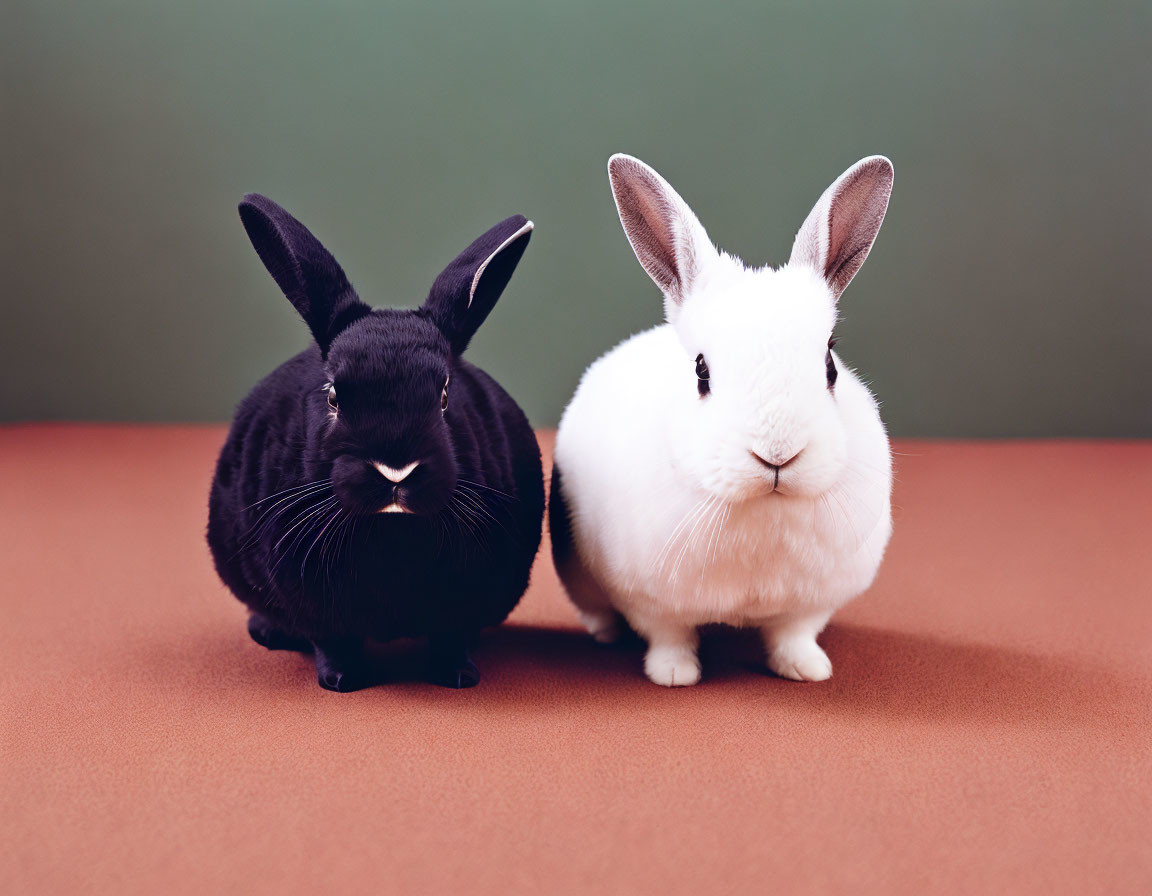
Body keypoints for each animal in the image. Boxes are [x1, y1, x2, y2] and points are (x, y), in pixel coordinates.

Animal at [208, 192, 543, 686]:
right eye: (333, 396)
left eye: (445, 395)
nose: (395, 470)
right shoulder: (311, 599)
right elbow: (333, 642)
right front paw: (341, 682)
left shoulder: (464, 603)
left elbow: (451, 637)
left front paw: (459, 676)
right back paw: (270, 633)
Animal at [552, 152, 893, 686]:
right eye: (701, 371)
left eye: (830, 366)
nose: (778, 454)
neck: (763, 509)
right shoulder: (651, 602)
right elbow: (668, 636)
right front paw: (674, 675)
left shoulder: (812, 604)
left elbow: (794, 634)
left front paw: (809, 669)